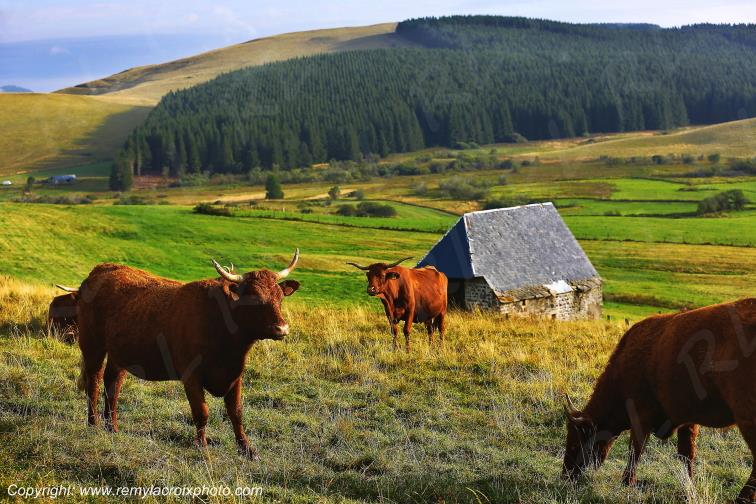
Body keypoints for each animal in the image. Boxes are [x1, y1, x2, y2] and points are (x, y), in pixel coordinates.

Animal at [73, 250, 300, 459]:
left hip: (119, 353)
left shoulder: (235, 375)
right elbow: (201, 412)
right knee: (94, 382)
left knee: (112, 384)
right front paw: (203, 447)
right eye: (254, 299)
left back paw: (112, 427)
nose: (282, 329)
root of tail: (100, 269)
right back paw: (93, 423)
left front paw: (247, 449)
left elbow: (236, 412)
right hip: (92, 346)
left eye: (280, 298)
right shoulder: (191, 375)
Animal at [562, 298, 756, 502]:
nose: (565, 475)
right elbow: (686, 454)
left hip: (746, 419)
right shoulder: (688, 420)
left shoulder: (641, 416)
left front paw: (627, 482)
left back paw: (742, 498)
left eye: (575, 440)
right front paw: (688, 489)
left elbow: (635, 449)